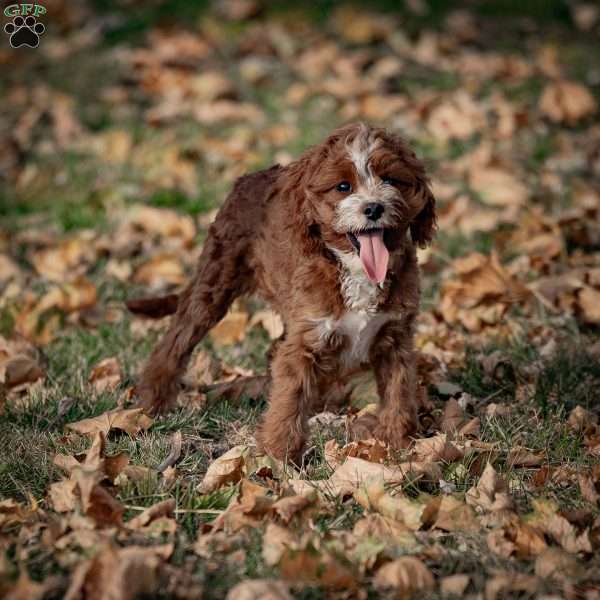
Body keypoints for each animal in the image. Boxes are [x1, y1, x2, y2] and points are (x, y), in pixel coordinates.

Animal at [130, 123, 436, 464]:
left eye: (390, 180)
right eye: (343, 186)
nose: (373, 208)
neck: (353, 269)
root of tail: (250, 177)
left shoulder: (395, 337)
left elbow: (399, 391)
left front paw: (399, 444)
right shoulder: (307, 336)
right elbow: (290, 396)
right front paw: (278, 456)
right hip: (214, 281)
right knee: (176, 339)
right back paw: (153, 400)